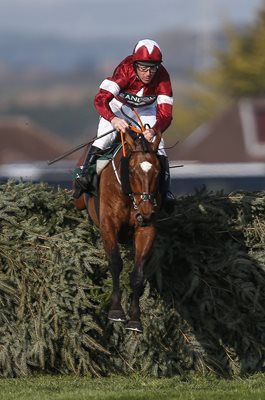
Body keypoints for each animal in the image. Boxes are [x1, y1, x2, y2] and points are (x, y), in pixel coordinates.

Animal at [73, 130, 161, 332]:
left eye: (158, 171)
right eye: (132, 171)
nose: (146, 212)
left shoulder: (147, 229)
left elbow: (138, 273)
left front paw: (135, 319)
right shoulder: (108, 224)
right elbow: (115, 263)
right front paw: (116, 310)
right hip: (79, 200)